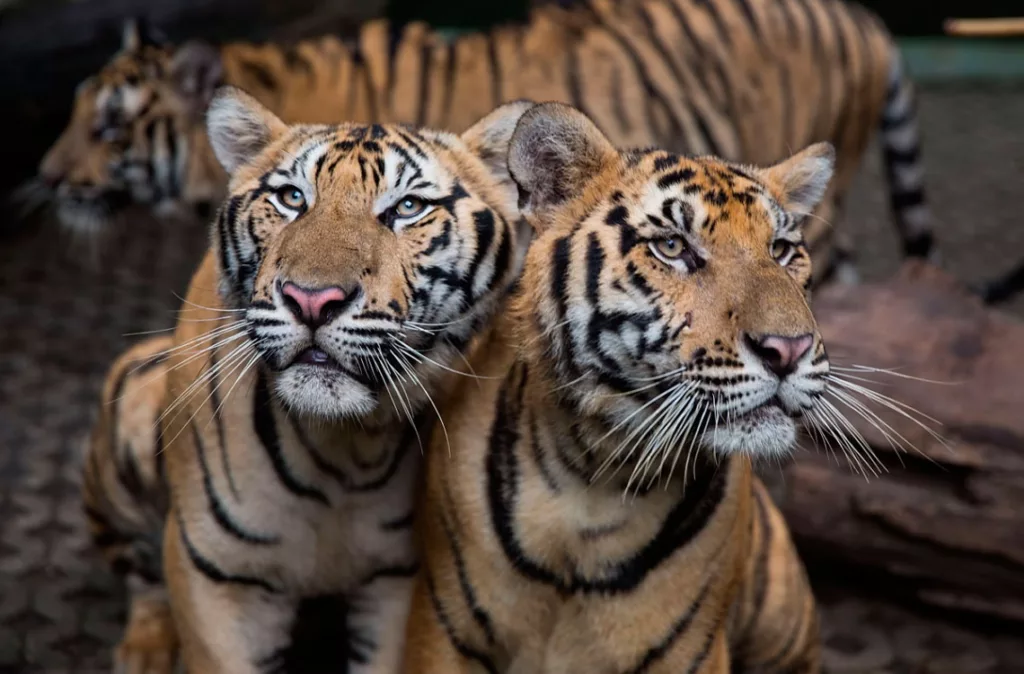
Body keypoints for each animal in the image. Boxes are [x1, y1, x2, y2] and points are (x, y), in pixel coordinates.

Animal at [82, 91, 535, 672]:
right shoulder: (217, 576)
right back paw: (145, 650)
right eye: (292, 198)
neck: (343, 451)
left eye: (408, 207)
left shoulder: (398, 579)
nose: (312, 300)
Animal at [402, 102, 834, 673]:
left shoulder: (689, 653)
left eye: (782, 250)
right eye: (673, 246)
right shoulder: (443, 633)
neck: (597, 479)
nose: (788, 350)